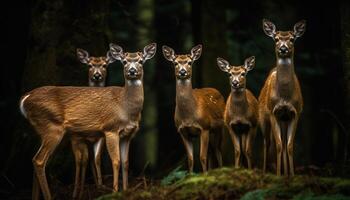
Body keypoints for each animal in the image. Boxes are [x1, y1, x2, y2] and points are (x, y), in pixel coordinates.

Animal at [19, 43, 156, 199]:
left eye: (141, 61)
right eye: (124, 61)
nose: (132, 71)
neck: (125, 107)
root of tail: (25, 98)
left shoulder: (128, 135)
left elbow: (126, 163)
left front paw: (126, 191)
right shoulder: (110, 128)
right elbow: (116, 161)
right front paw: (115, 191)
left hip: (43, 128)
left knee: (34, 157)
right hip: (52, 126)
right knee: (39, 160)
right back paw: (49, 196)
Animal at [162, 44, 224, 173]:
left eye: (190, 62)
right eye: (175, 63)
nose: (182, 71)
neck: (188, 116)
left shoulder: (204, 127)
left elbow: (202, 157)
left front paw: (204, 175)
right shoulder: (182, 131)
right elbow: (190, 159)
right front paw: (190, 175)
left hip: (219, 128)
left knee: (218, 151)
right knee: (211, 152)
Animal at [258, 18, 304, 175]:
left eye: (292, 39)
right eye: (276, 38)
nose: (283, 48)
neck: (284, 96)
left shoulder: (295, 112)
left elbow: (289, 146)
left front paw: (292, 175)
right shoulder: (273, 112)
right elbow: (277, 145)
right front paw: (278, 174)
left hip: (284, 119)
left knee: (284, 144)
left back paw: (286, 173)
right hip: (263, 118)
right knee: (267, 143)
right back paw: (266, 172)